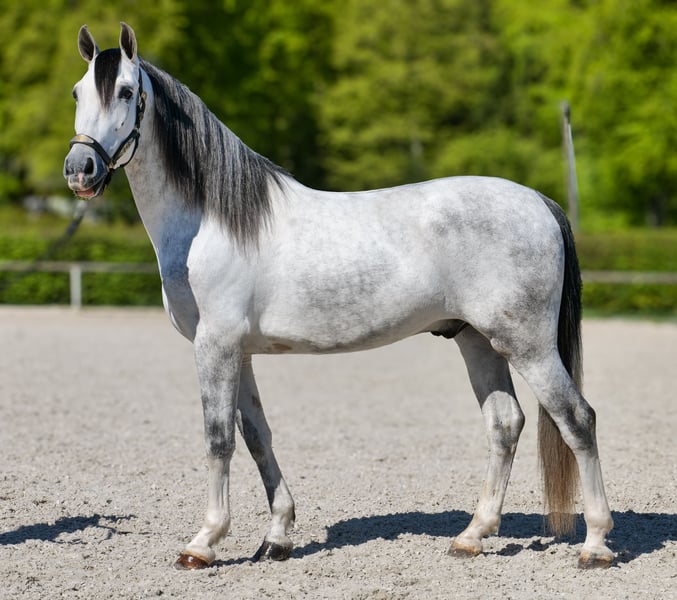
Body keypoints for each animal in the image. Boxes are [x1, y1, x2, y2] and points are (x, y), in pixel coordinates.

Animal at [63, 23, 614, 570]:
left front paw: (204, 541)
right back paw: (472, 536)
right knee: (505, 425)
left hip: (529, 346)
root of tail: (539, 201)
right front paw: (277, 537)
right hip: (478, 341)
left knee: (577, 420)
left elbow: (218, 438)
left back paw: (595, 544)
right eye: (77, 92)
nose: (80, 168)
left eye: (126, 92)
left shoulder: (215, 345)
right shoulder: (240, 352)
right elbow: (257, 436)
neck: (212, 221)